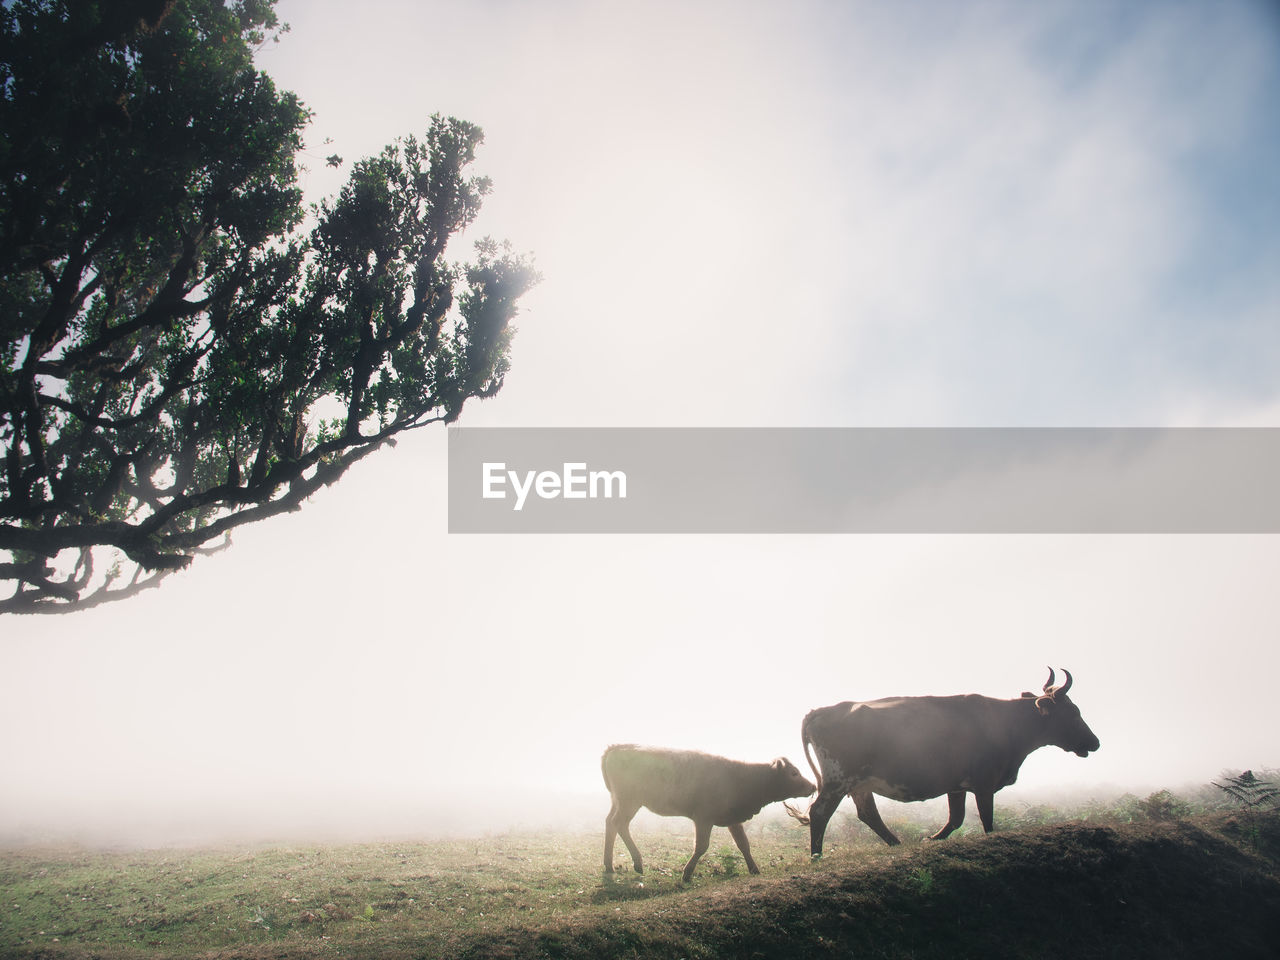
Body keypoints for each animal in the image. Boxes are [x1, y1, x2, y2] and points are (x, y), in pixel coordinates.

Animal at [601, 742, 819, 885]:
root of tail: (617, 747)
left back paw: (611, 865)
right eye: (794, 773)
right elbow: (701, 846)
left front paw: (754, 869)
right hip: (629, 801)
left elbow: (744, 844)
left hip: (619, 801)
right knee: (618, 824)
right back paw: (632, 863)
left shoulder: (733, 819)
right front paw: (687, 873)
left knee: (610, 823)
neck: (742, 778)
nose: (813, 786)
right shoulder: (704, 818)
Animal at [788, 670, 1100, 855]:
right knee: (820, 812)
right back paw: (816, 855)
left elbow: (956, 818)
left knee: (868, 814)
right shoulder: (984, 783)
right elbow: (986, 820)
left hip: (858, 783)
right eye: (1073, 712)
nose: (1095, 743)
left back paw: (896, 843)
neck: (1006, 723)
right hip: (838, 779)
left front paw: (932, 839)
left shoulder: (956, 784)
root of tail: (821, 711)